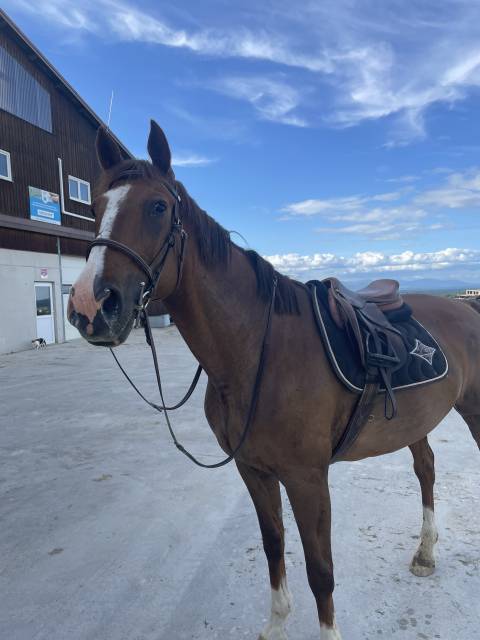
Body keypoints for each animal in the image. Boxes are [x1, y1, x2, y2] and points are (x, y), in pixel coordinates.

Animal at [68, 120, 480, 640]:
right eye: (96, 206)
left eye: (158, 207)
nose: (90, 305)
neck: (256, 353)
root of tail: (466, 307)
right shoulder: (254, 470)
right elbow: (273, 546)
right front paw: (276, 623)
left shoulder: (307, 478)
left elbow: (320, 571)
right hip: (414, 422)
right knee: (425, 468)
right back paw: (425, 553)